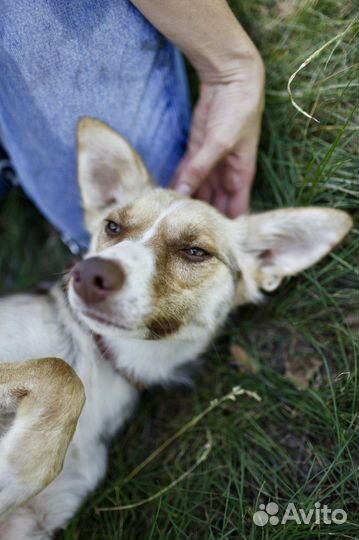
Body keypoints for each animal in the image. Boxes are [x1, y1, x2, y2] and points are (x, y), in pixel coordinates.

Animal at [0, 119, 354, 540]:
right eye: (113, 226)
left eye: (195, 251)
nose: (89, 274)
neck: (101, 365)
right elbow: (60, 371)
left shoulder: (35, 517)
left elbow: (60, 376)